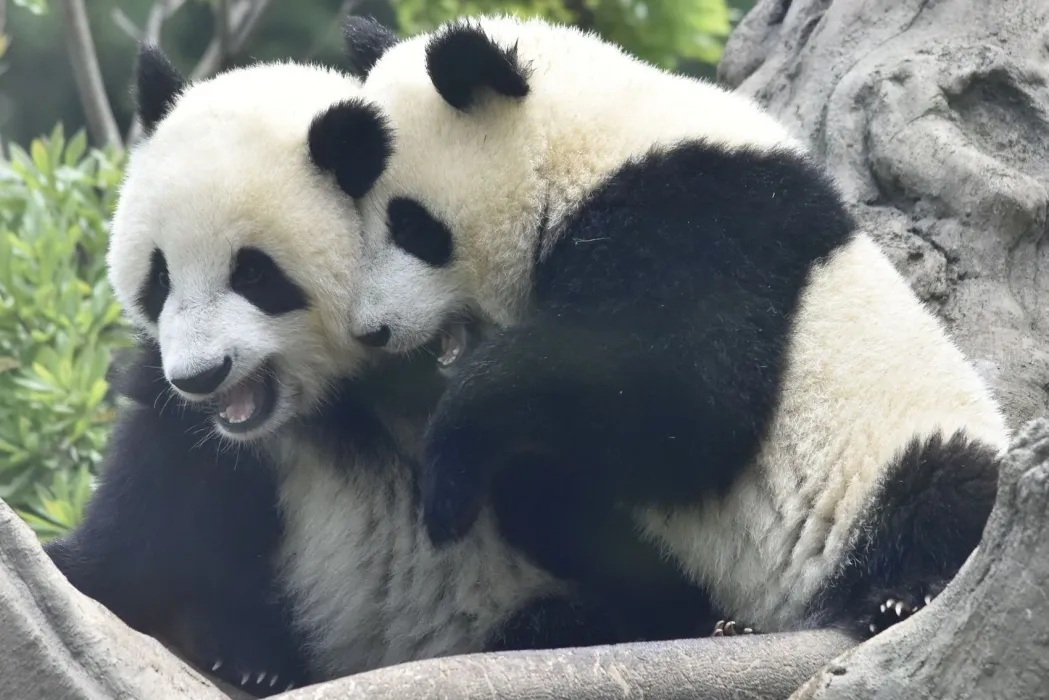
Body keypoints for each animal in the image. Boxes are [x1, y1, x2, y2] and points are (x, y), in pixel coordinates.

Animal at [322, 13, 1011, 640]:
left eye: (411, 225)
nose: (372, 330)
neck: (582, 143)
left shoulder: (706, 214)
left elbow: (691, 398)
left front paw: (449, 477)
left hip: (904, 448)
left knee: (942, 489)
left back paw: (902, 596)